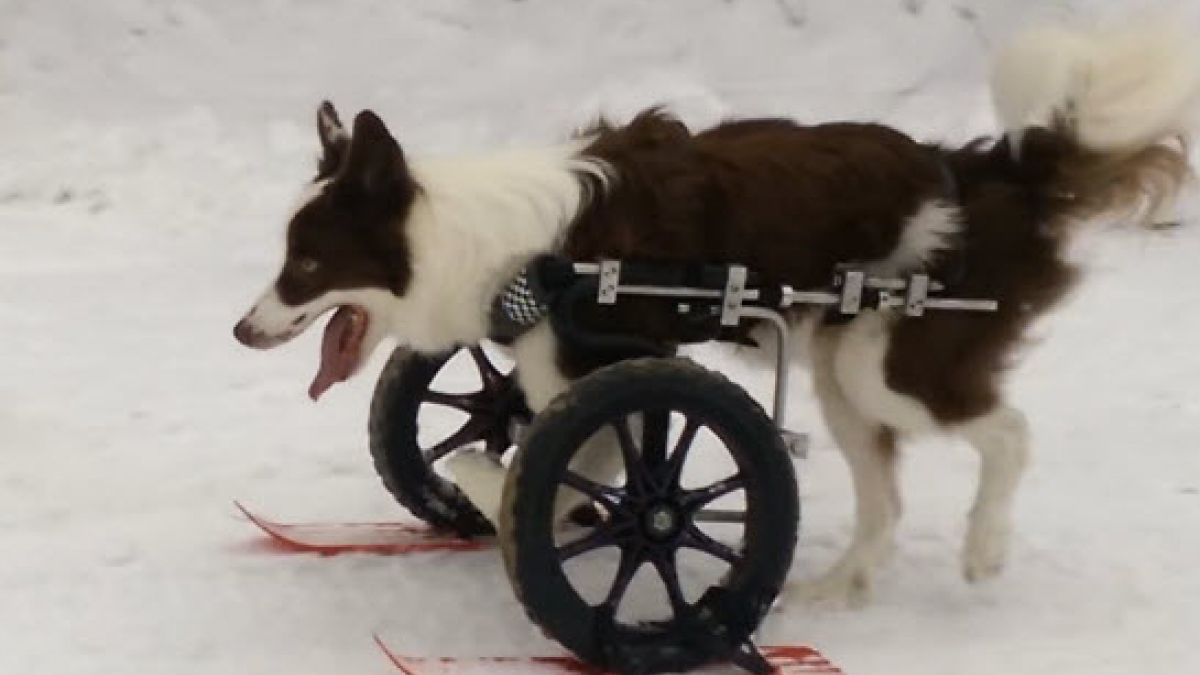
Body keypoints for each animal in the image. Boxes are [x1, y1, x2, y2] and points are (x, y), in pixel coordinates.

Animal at [234, 17, 1200, 605]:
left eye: (305, 262)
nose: (243, 330)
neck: (486, 243)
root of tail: (995, 168)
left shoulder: (606, 370)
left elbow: (530, 467)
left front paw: (516, 493)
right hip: (844, 372)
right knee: (885, 494)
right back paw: (837, 588)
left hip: (889, 359)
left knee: (1007, 433)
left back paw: (982, 546)